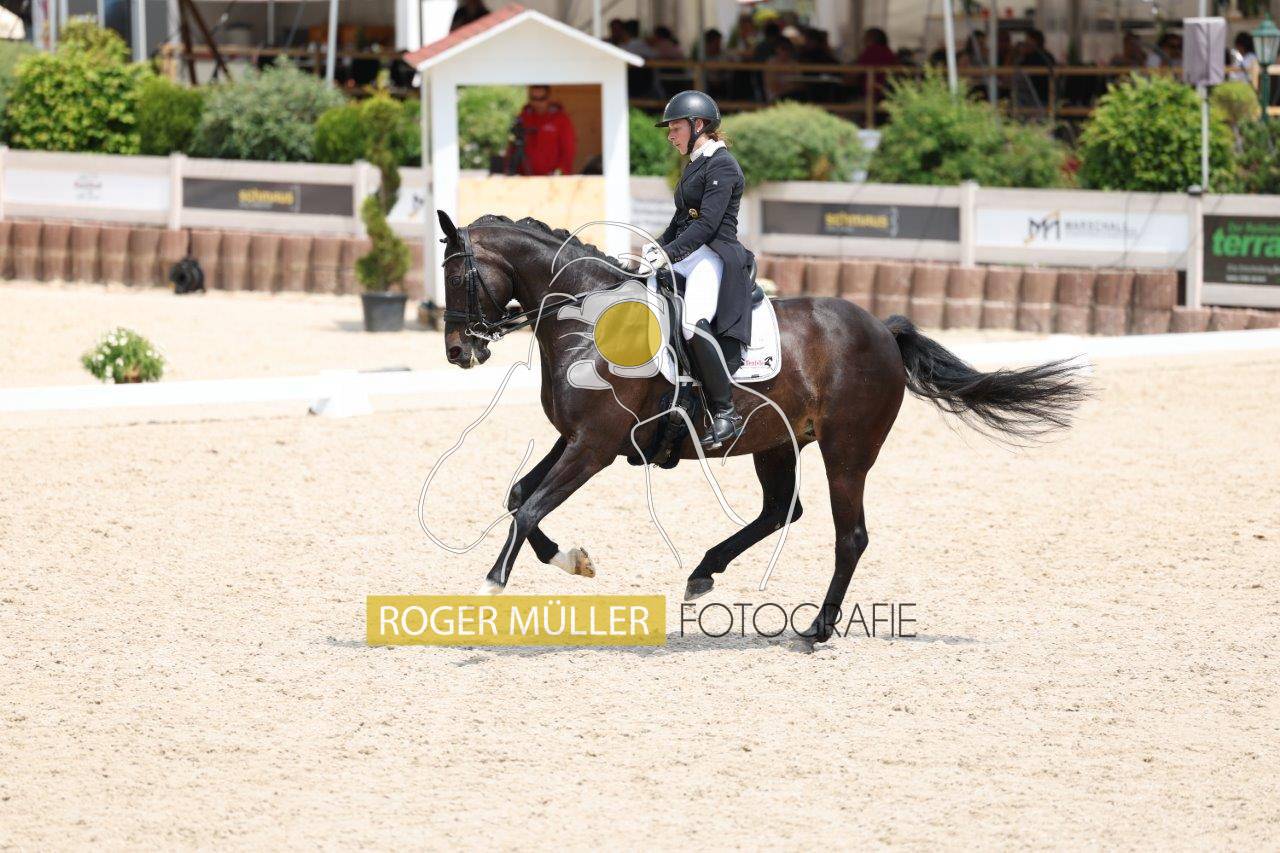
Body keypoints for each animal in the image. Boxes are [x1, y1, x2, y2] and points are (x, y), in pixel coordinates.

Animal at [435, 211, 1086, 644]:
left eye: (456, 276)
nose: (458, 352)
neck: (592, 321)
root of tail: (882, 328)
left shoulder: (593, 447)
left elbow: (528, 508)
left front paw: (491, 587)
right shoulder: (575, 439)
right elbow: (519, 495)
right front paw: (572, 560)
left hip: (847, 452)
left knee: (848, 536)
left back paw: (816, 629)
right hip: (777, 443)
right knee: (780, 511)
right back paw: (704, 573)